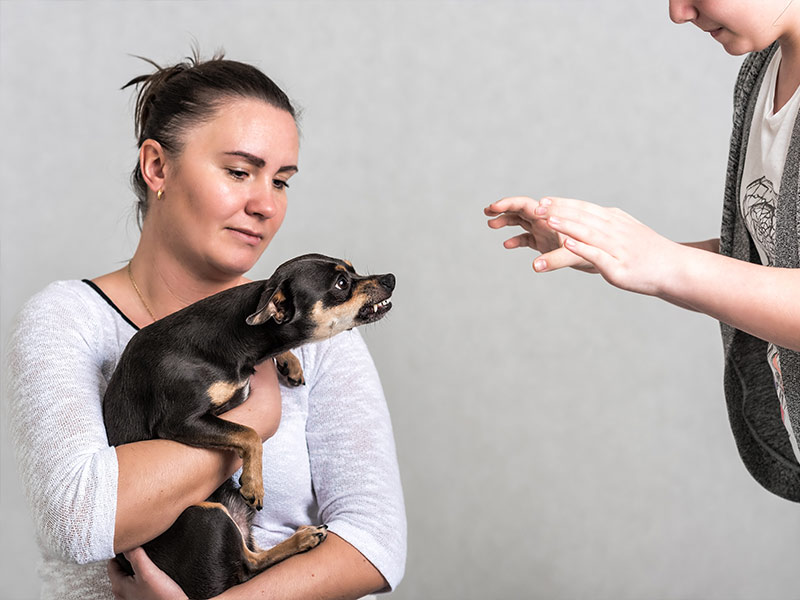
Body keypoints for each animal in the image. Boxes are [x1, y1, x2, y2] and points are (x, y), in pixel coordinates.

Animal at [103, 254, 396, 600]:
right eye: (341, 284)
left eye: (352, 270)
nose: (391, 278)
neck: (238, 337)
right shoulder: (181, 421)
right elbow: (249, 433)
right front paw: (254, 483)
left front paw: (289, 361)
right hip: (206, 513)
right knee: (249, 566)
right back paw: (301, 539)